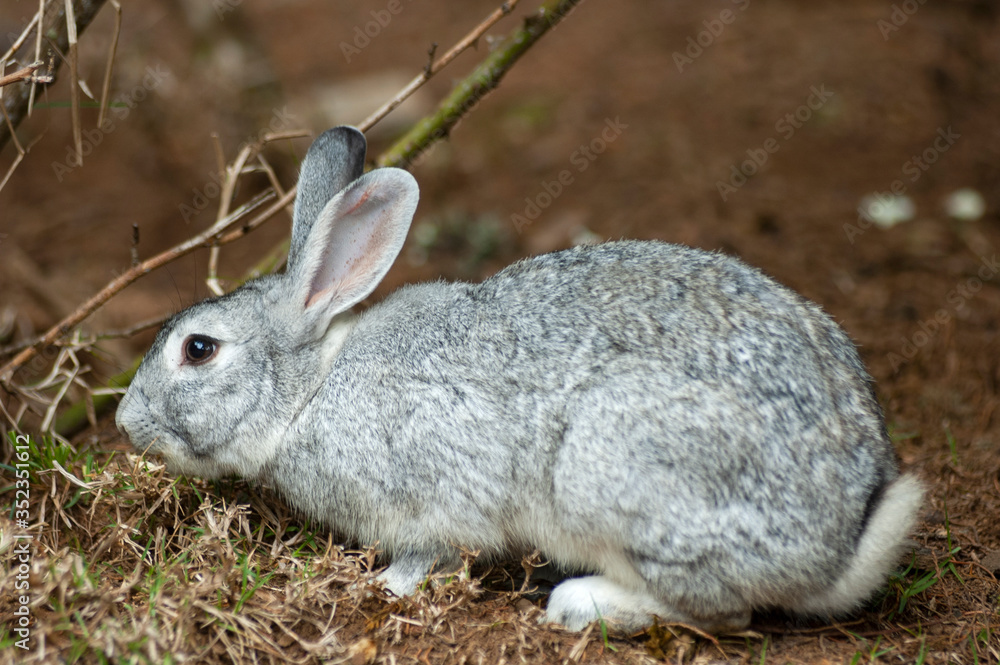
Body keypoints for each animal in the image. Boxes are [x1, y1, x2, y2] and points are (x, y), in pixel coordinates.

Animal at [116, 125, 923, 634]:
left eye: (198, 349)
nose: (126, 422)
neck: (311, 389)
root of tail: (841, 540)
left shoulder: (436, 490)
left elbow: (433, 549)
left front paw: (385, 587)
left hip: (616, 468)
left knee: (726, 610)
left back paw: (582, 605)